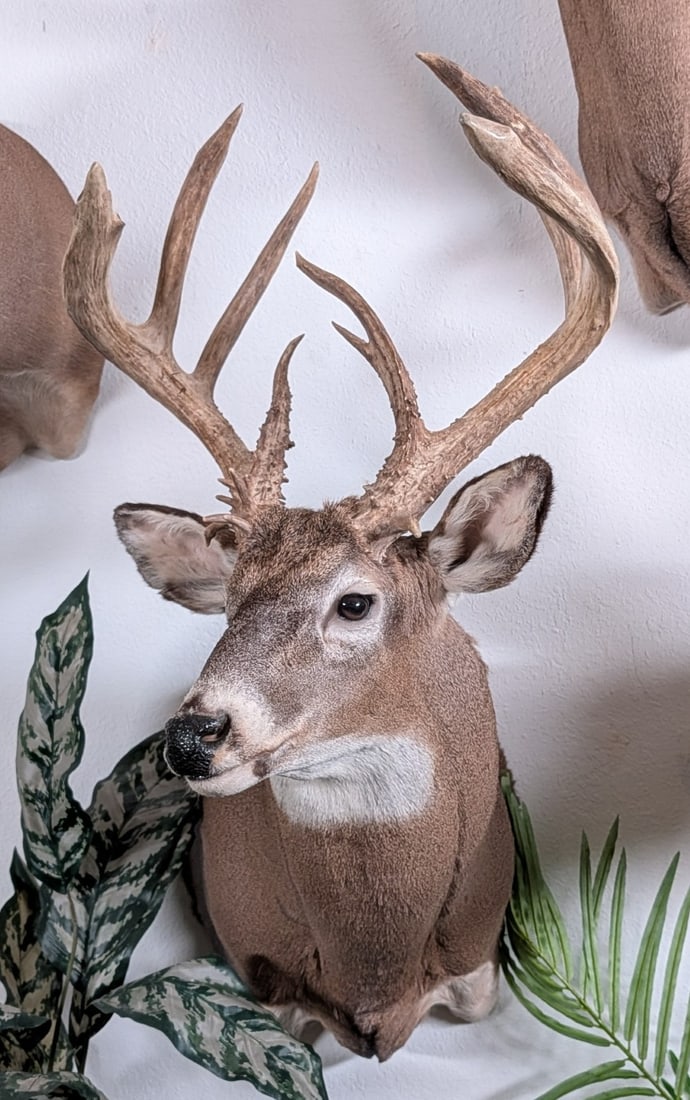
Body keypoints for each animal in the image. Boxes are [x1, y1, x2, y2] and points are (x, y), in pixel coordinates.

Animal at [62, 55, 618, 1061]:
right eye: (230, 602)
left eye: (355, 602)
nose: (192, 736)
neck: (376, 969)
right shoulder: (259, 980)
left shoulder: (484, 971)